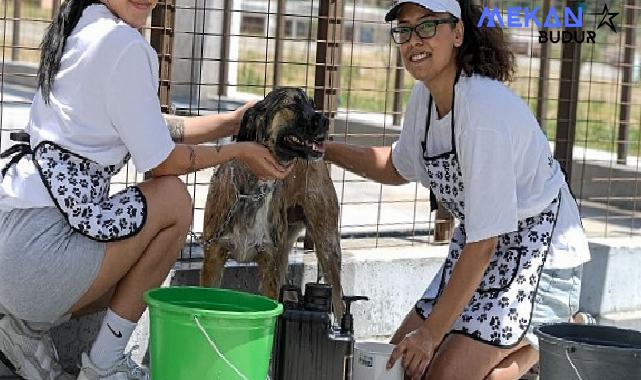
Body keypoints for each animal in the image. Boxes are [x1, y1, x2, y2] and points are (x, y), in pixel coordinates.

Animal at [201, 87, 342, 316]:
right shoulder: (213, 257)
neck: (252, 191)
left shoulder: (269, 266)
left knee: (340, 303)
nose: (325, 120)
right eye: (293, 105)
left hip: (326, 247)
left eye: (313, 104)